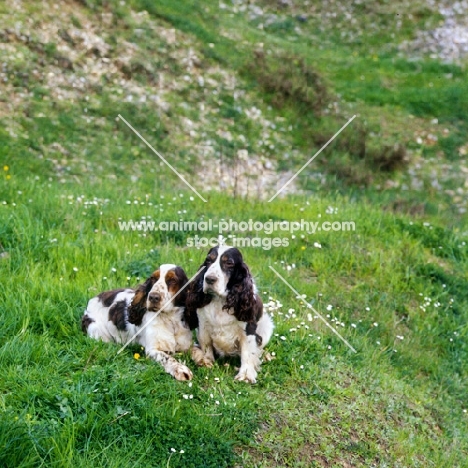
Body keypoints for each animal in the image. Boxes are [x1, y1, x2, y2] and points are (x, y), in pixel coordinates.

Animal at [186, 245, 274, 384]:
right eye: (208, 260)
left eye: (229, 263)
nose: (209, 279)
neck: (221, 300)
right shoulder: (203, 325)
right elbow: (206, 345)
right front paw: (206, 361)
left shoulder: (248, 329)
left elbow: (247, 352)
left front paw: (245, 375)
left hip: (266, 326)